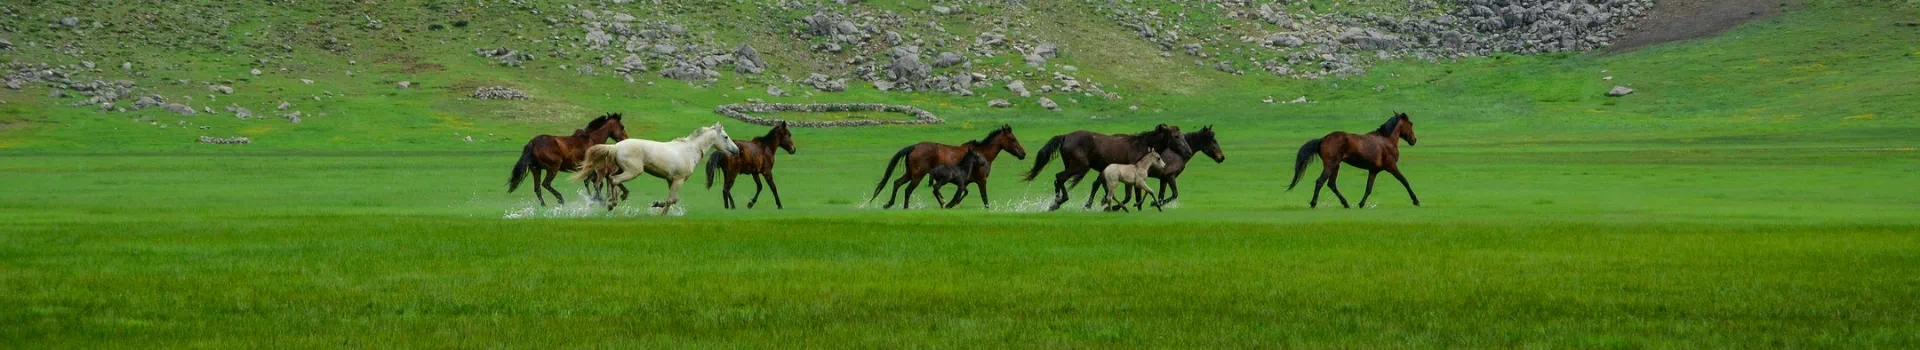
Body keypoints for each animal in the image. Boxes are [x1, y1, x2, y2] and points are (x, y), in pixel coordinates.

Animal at [572, 121, 737, 211]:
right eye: (726, 137)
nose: (736, 150)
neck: (689, 151)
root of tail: (616, 146)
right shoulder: (678, 180)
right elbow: (670, 201)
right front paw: (662, 213)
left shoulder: (671, 180)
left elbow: (673, 199)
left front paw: (656, 204)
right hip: (634, 171)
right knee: (614, 180)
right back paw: (612, 203)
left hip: (623, 169)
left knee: (612, 179)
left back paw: (620, 197)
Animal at [867, 124, 1021, 209]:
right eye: (1012, 139)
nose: (1023, 154)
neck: (982, 154)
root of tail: (913, 147)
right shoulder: (981, 180)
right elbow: (984, 198)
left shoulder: (965, 182)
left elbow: (963, 193)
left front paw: (949, 203)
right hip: (917, 176)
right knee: (907, 190)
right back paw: (906, 207)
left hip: (910, 173)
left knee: (897, 183)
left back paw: (889, 204)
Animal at [1021, 124, 1182, 210]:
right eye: (1176, 136)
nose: (1185, 151)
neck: (1141, 146)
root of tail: (1066, 136)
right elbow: (1131, 195)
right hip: (1080, 166)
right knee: (1059, 177)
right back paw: (1058, 202)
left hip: (1072, 165)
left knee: (1059, 180)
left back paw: (1057, 202)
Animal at [1082, 124, 1228, 209]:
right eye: (1213, 140)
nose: (1221, 157)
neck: (1176, 153)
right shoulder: (1170, 176)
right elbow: (1174, 194)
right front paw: (1152, 204)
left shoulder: (1163, 179)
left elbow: (1161, 195)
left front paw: (1155, 204)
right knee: (1098, 185)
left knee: (1096, 184)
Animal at [1282, 112, 1420, 207]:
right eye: (1411, 124)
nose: (1414, 140)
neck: (1387, 140)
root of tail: (1322, 139)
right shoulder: (1391, 166)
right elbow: (1405, 181)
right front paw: (1416, 200)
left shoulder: (1373, 170)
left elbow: (1368, 188)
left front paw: (1361, 204)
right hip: (1330, 165)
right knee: (1320, 181)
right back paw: (1313, 203)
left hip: (1336, 166)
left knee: (1331, 184)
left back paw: (1345, 203)